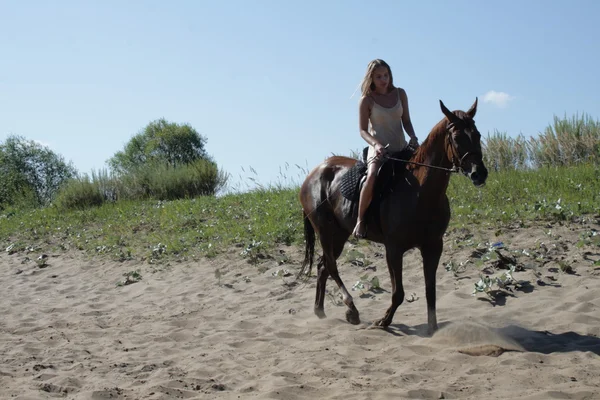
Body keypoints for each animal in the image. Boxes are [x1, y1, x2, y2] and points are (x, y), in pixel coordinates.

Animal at [298, 98, 490, 336]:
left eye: (477, 135)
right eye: (456, 137)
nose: (479, 173)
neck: (420, 192)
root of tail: (313, 174)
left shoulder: (433, 246)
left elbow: (430, 290)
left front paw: (432, 329)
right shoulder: (394, 249)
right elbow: (398, 292)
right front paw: (383, 321)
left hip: (340, 234)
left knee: (323, 266)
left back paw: (320, 310)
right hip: (324, 229)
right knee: (331, 266)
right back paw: (351, 309)